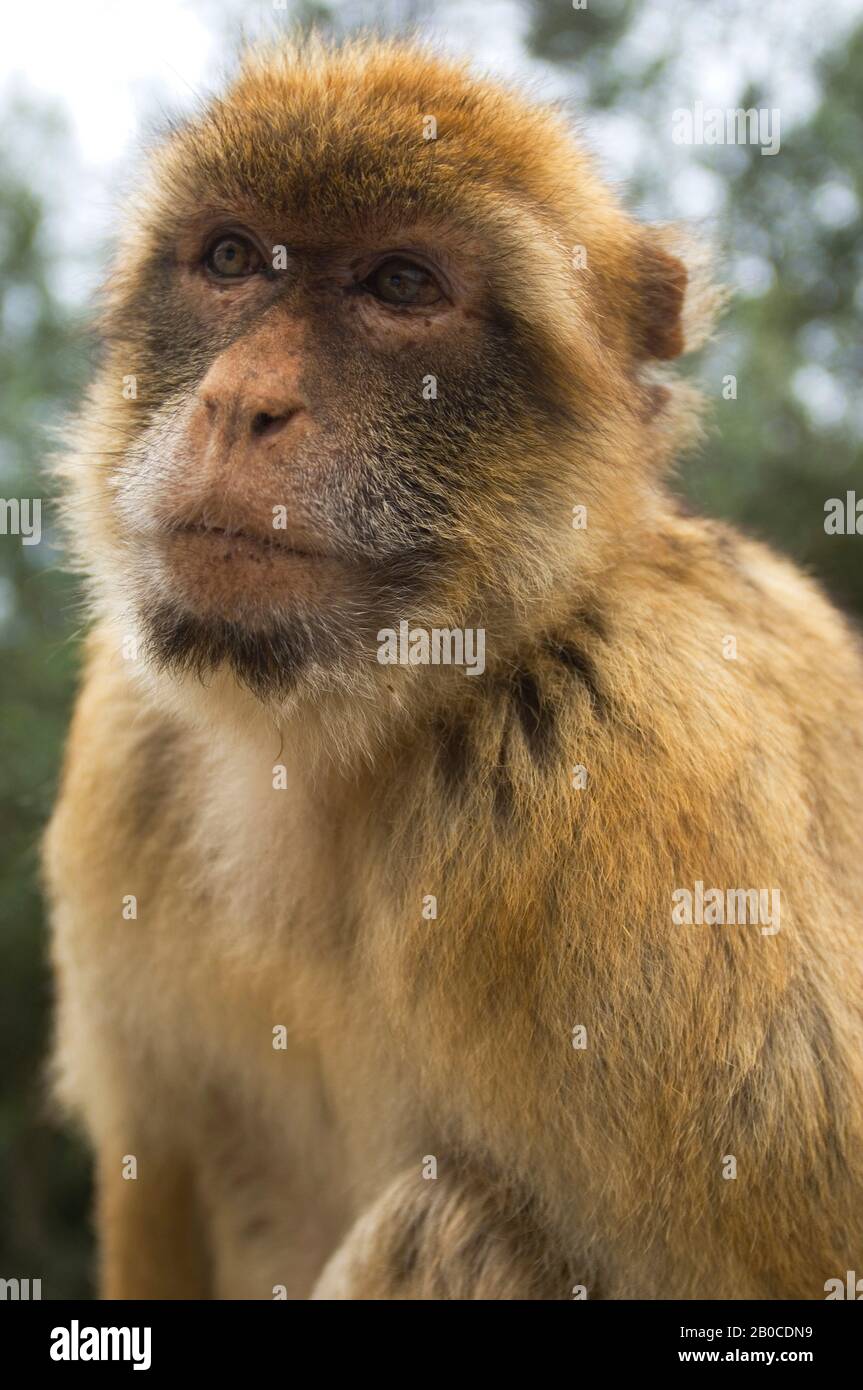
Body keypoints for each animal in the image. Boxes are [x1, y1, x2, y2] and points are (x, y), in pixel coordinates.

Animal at [43, 36, 863, 1301]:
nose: (239, 401)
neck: (332, 737)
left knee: (457, 1223)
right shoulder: (127, 741)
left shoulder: (622, 774)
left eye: (399, 286)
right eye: (229, 257)